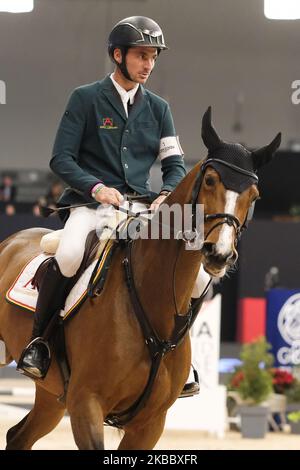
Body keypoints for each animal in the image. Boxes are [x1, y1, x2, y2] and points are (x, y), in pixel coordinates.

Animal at [0, 106, 282, 448]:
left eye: (254, 195)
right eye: (210, 180)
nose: (220, 254)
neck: (148, 297)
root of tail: (13, 241)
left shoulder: (149, 424)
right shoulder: (85, 404)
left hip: (51, 397)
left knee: (18, 436)